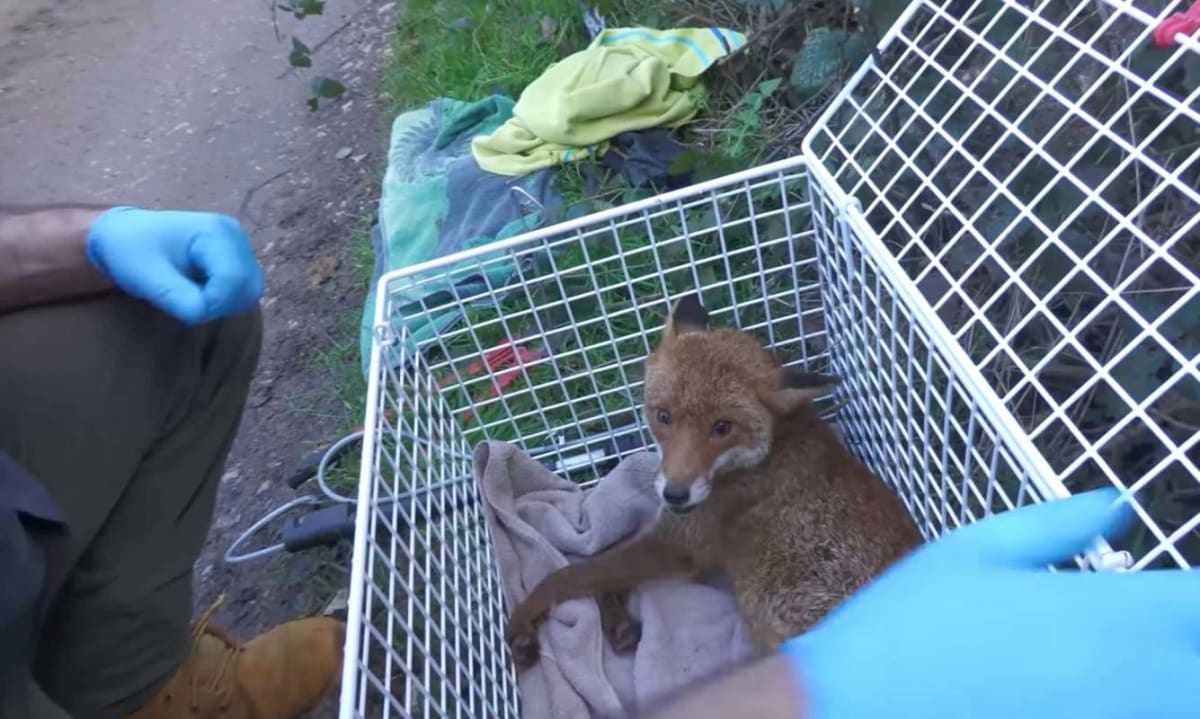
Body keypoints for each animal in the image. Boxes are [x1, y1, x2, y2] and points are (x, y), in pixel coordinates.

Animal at [504, 294, 924, 668]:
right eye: (664, 416)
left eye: (723, 428)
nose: (675, 494)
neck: (764, 455)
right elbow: (600, 563)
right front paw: (617, 623)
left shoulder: (679, 547)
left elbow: (567, 575)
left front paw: (520, 623)